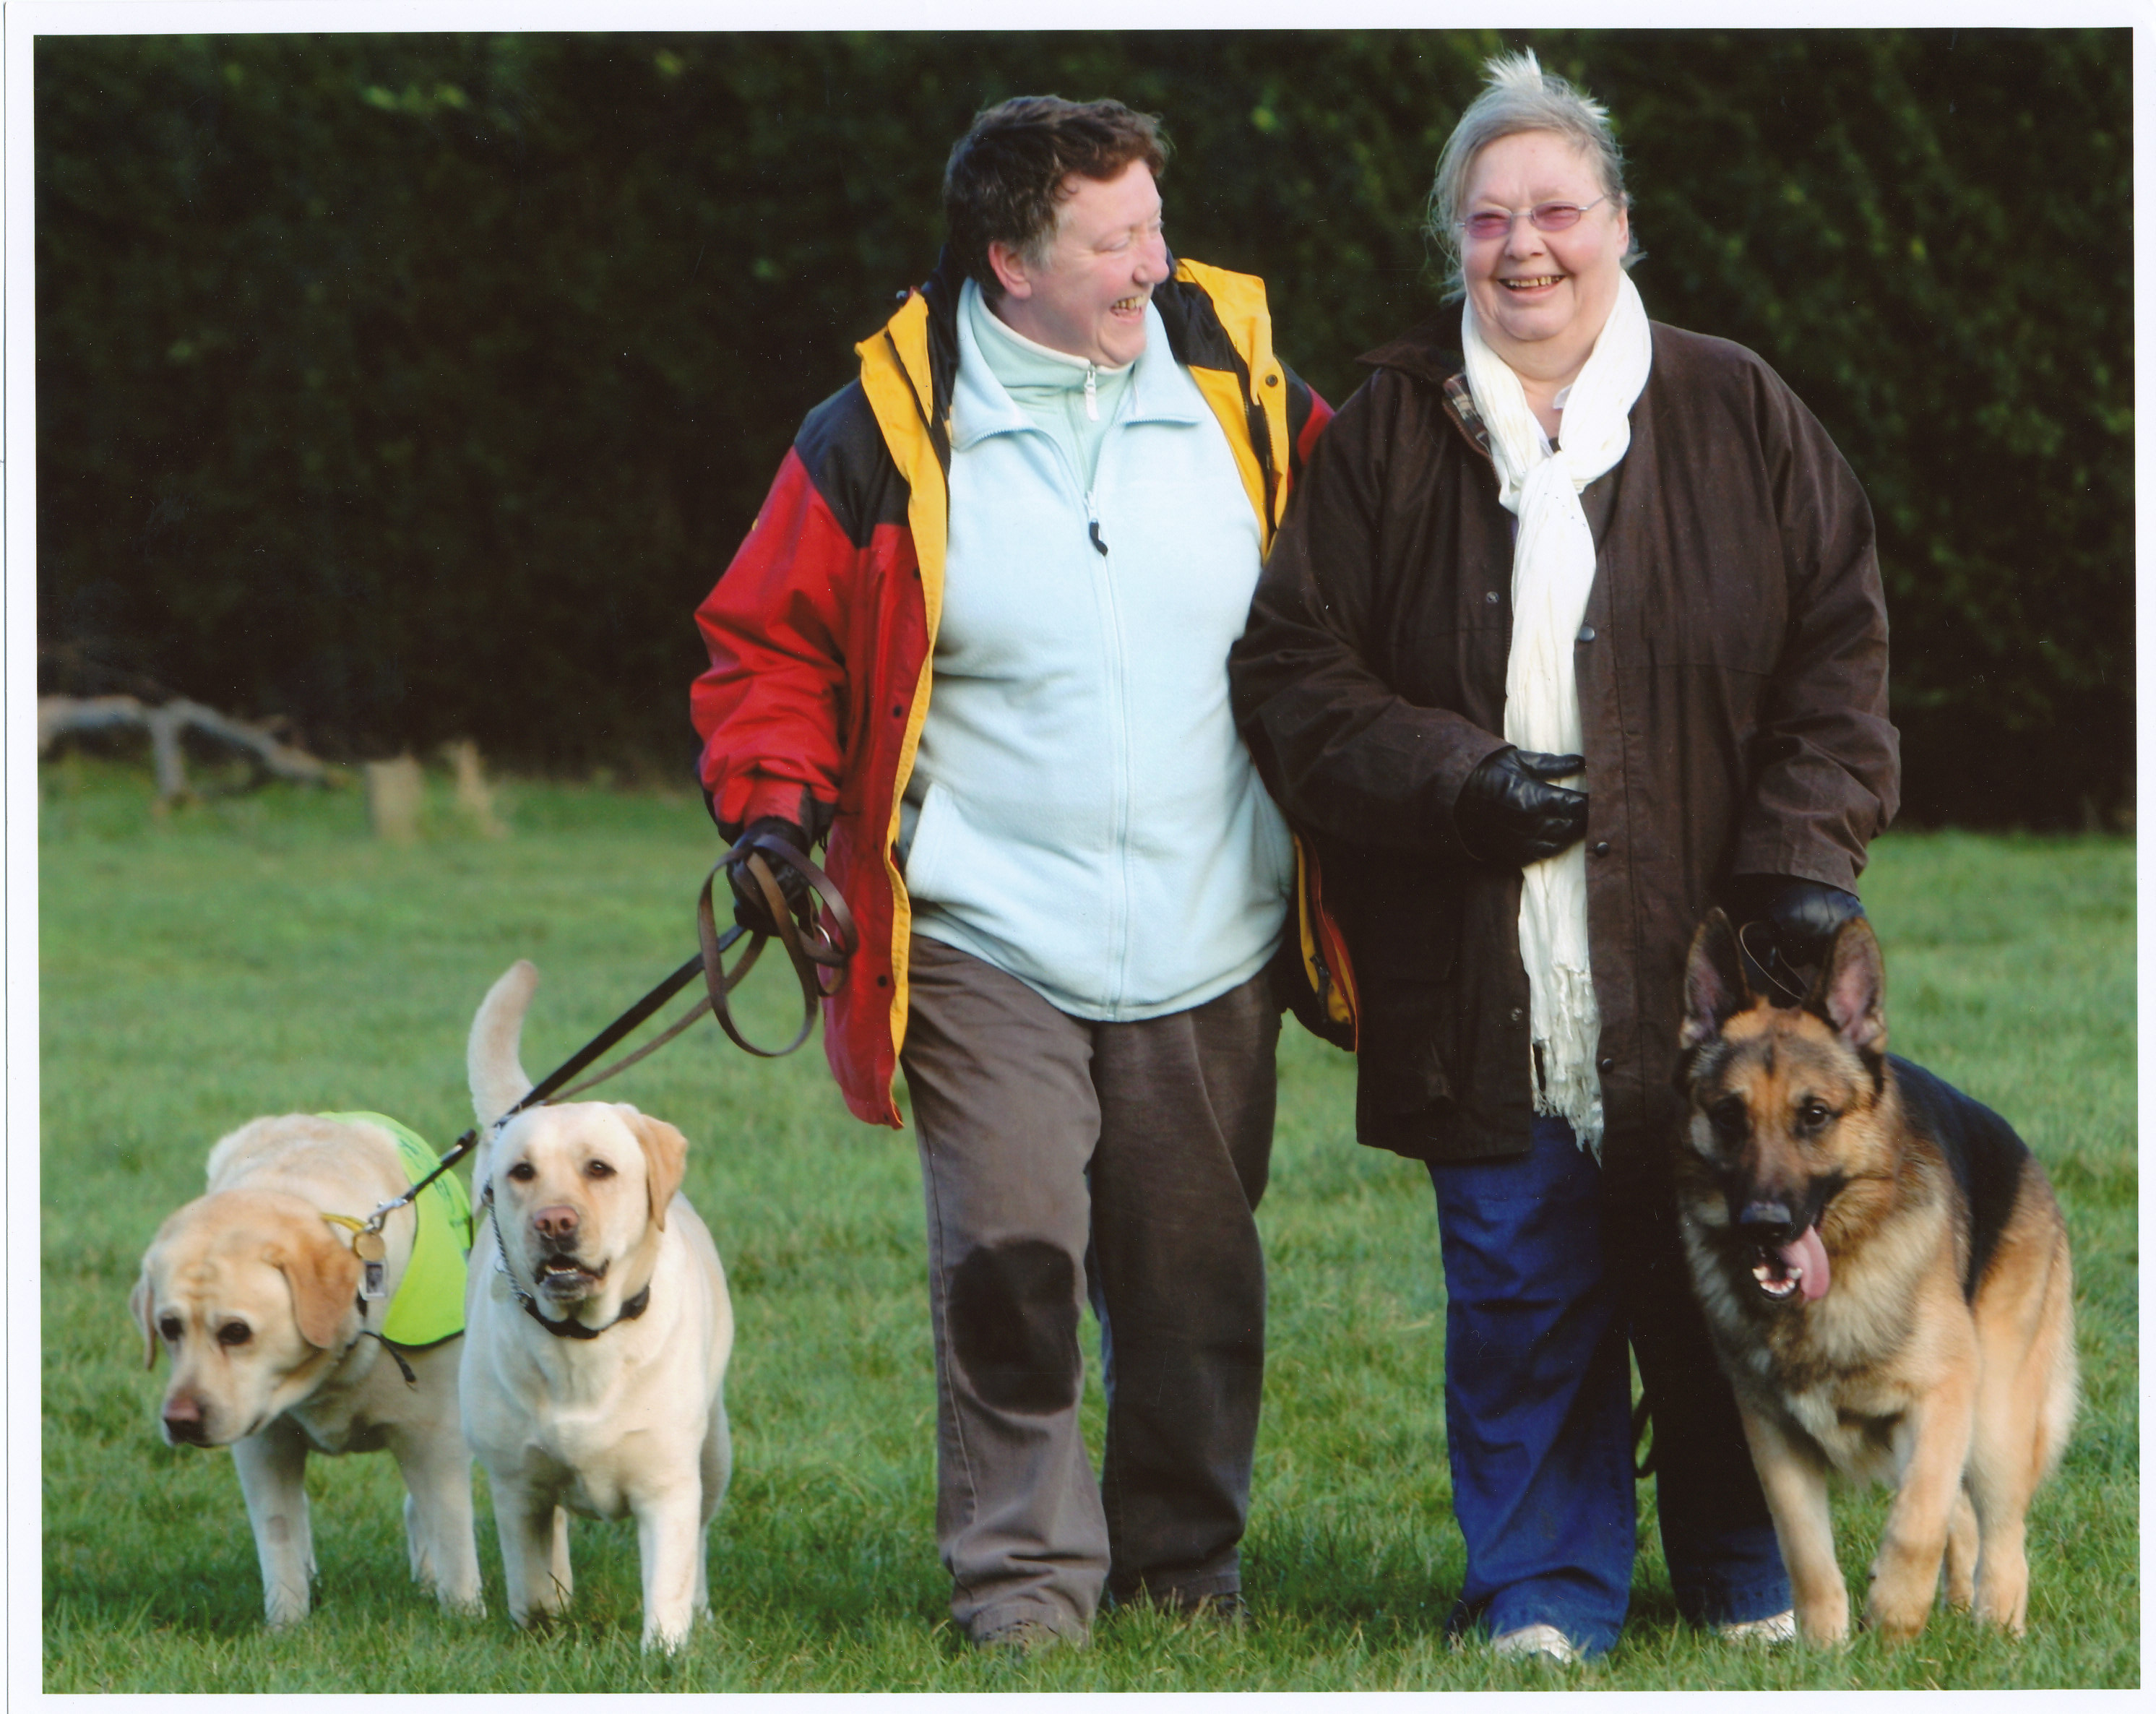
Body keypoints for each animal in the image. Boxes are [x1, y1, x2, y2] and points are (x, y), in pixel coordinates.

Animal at [1664, 918, 2069, 1638]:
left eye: (1816, 1116)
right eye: (1729, 1115)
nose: (1765, 1226)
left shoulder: (1942, 1395)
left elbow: (1916, 1525)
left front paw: (1894, 1624)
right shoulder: (1773, 1436)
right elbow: (1808, 1557)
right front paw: (1826, 1648)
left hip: (1995, 1416)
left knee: (2001, 1536)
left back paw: (1996, 1630)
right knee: (1964, 1520)